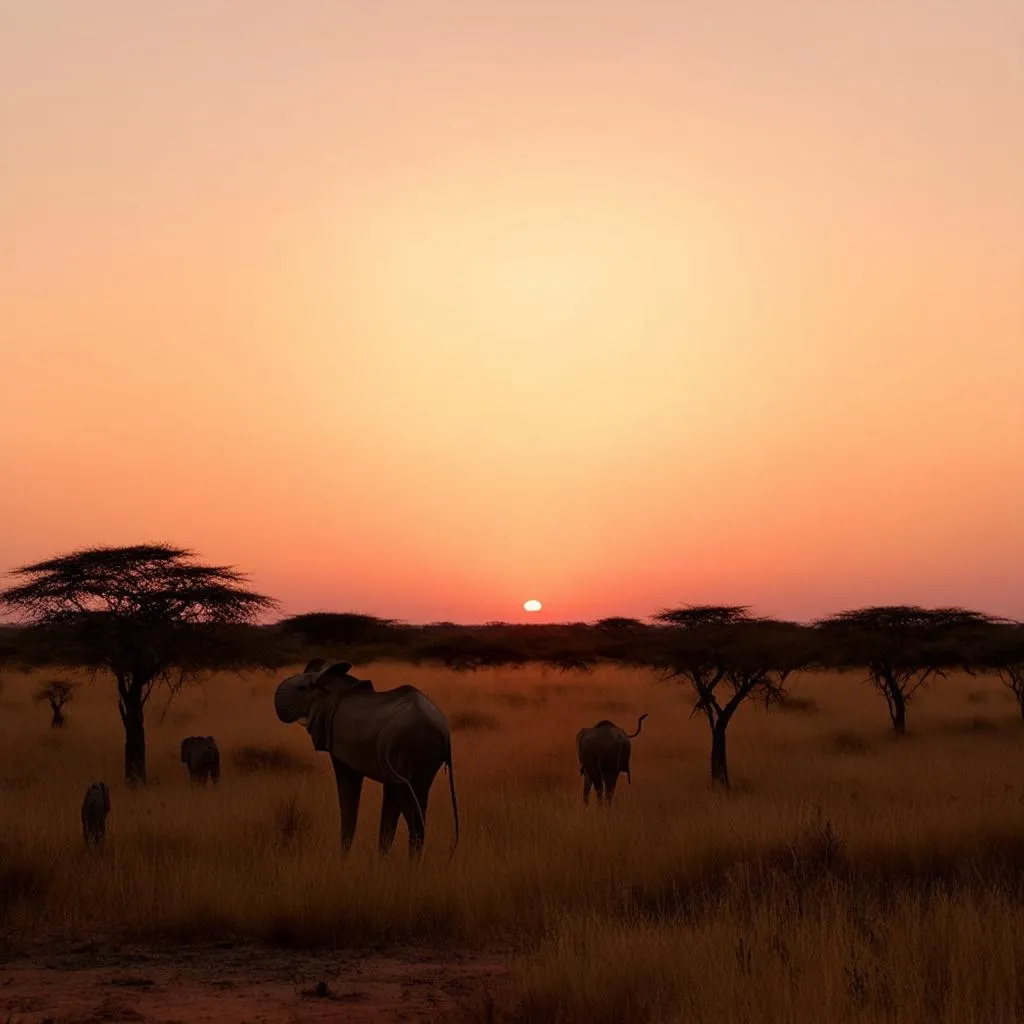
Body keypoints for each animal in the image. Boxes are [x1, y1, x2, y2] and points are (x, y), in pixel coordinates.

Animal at [276, 655, 460, 856]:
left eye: (302, 688)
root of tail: (444, 731)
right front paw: (380, 860)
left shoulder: (340, 740)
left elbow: (349, 786)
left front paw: (344, 859)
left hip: (411, 746)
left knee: (410, 806)